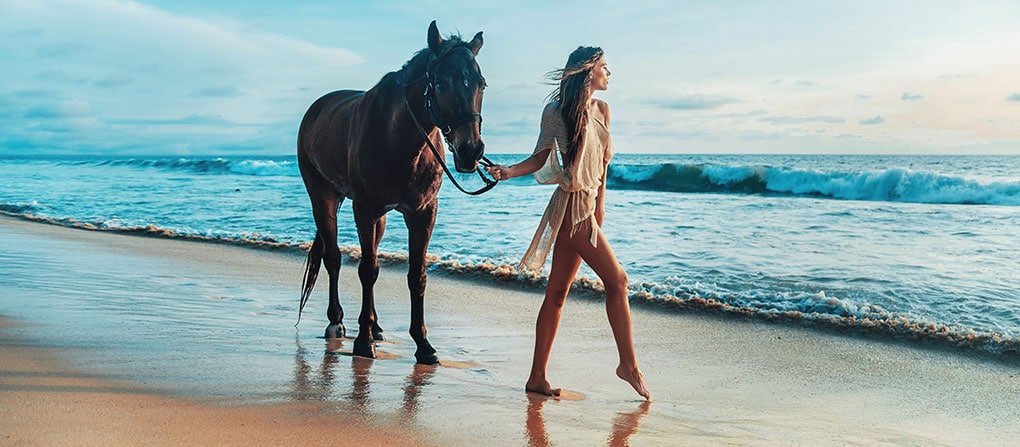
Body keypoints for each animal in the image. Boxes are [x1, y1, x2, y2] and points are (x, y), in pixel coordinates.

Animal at [297, 19, 487, 365]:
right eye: (441, 84)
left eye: (481, 84)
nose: (471, 151)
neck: (399, 138)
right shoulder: (364, 209)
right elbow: (367, 270)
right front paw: (362, 343)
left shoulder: (423, 213)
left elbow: (416, 275)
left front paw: (423, 345)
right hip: (323, 198)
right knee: (333, 258)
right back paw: (337, 322)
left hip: (380, 219)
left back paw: (375, 326)